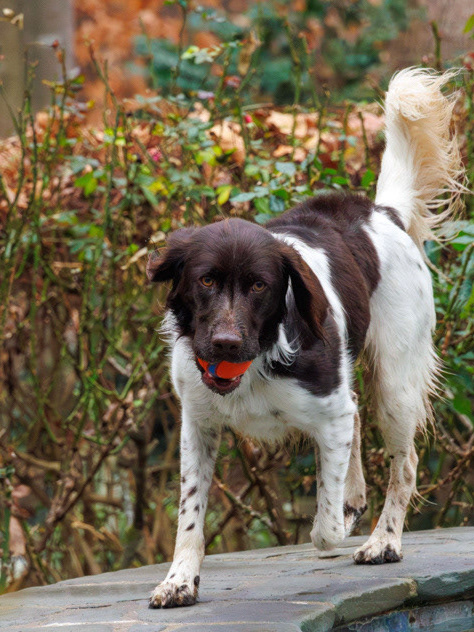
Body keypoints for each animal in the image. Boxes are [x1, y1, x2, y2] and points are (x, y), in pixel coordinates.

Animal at [147, 68, 464, 608]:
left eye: (260, 286)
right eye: (205, 280)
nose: (225, 343)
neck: (253, 363)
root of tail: (381, 212)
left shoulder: (328, 412)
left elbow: (325, 529)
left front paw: (344, 517)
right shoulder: (198, 425)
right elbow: (189, 517)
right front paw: (179, 580)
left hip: (395, 385)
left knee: (403, 463)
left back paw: (384, 541)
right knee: (359, 419)